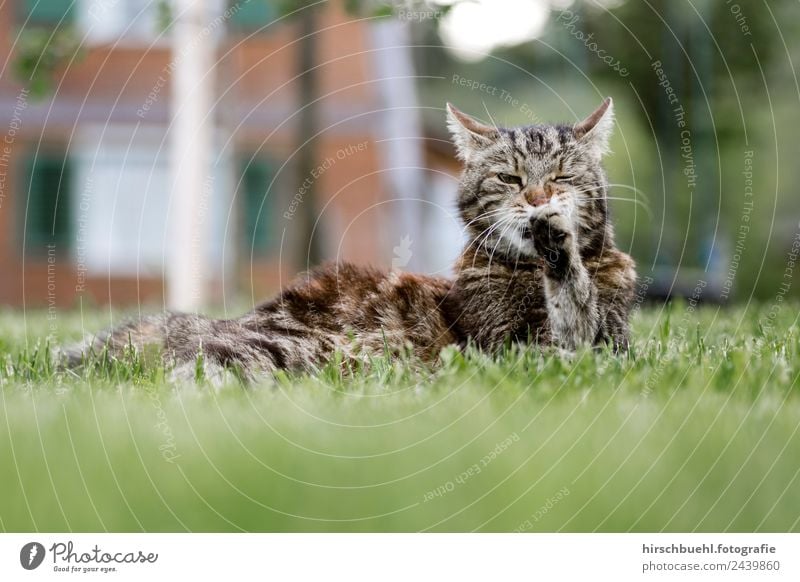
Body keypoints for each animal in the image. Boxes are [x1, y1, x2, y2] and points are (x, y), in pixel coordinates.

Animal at [64, 97, 636, 384]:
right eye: (510, 179)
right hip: (290, 350)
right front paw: (559, 253)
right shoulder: (512, 347)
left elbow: (583, 320)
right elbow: (570, 326)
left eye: (561, 177)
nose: (539, 199)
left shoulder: (615, 342)